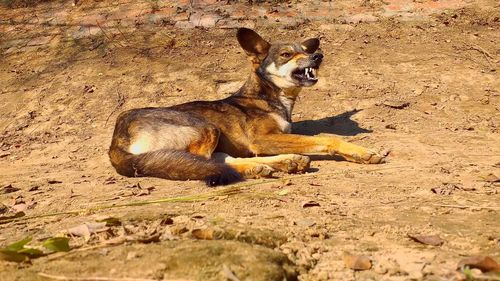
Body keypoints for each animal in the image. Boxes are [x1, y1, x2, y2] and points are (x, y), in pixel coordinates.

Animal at [107, 27, 384, 186]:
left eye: (305, 51)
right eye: (287, 54)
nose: (318, 56)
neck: (269, 96)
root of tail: (117, 136)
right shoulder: (261, 139)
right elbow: (327, 138)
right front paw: (360, 151)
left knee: (219, 161)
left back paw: (283, 163)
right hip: (206, 127)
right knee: (206, 164)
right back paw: (265, 166)